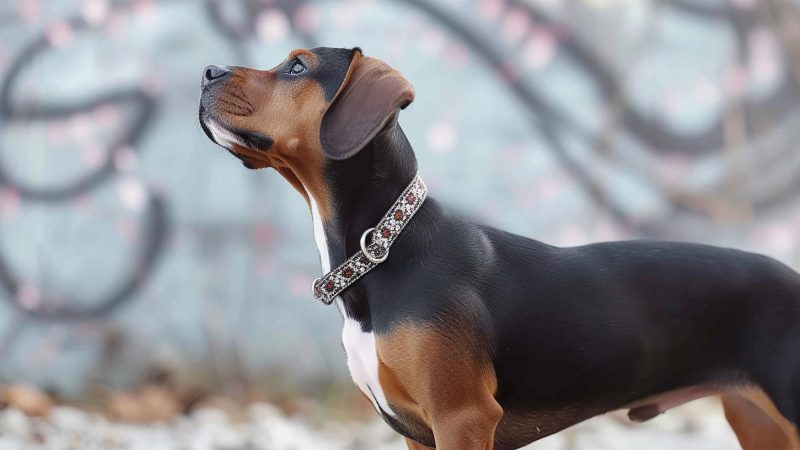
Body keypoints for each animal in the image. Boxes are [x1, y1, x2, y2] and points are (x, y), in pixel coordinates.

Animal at [198, 46, 800, 450]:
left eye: (298, 66)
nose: (206, 71)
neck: (384, 252)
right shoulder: (419, 431)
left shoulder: (462, 417)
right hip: (759, 422)